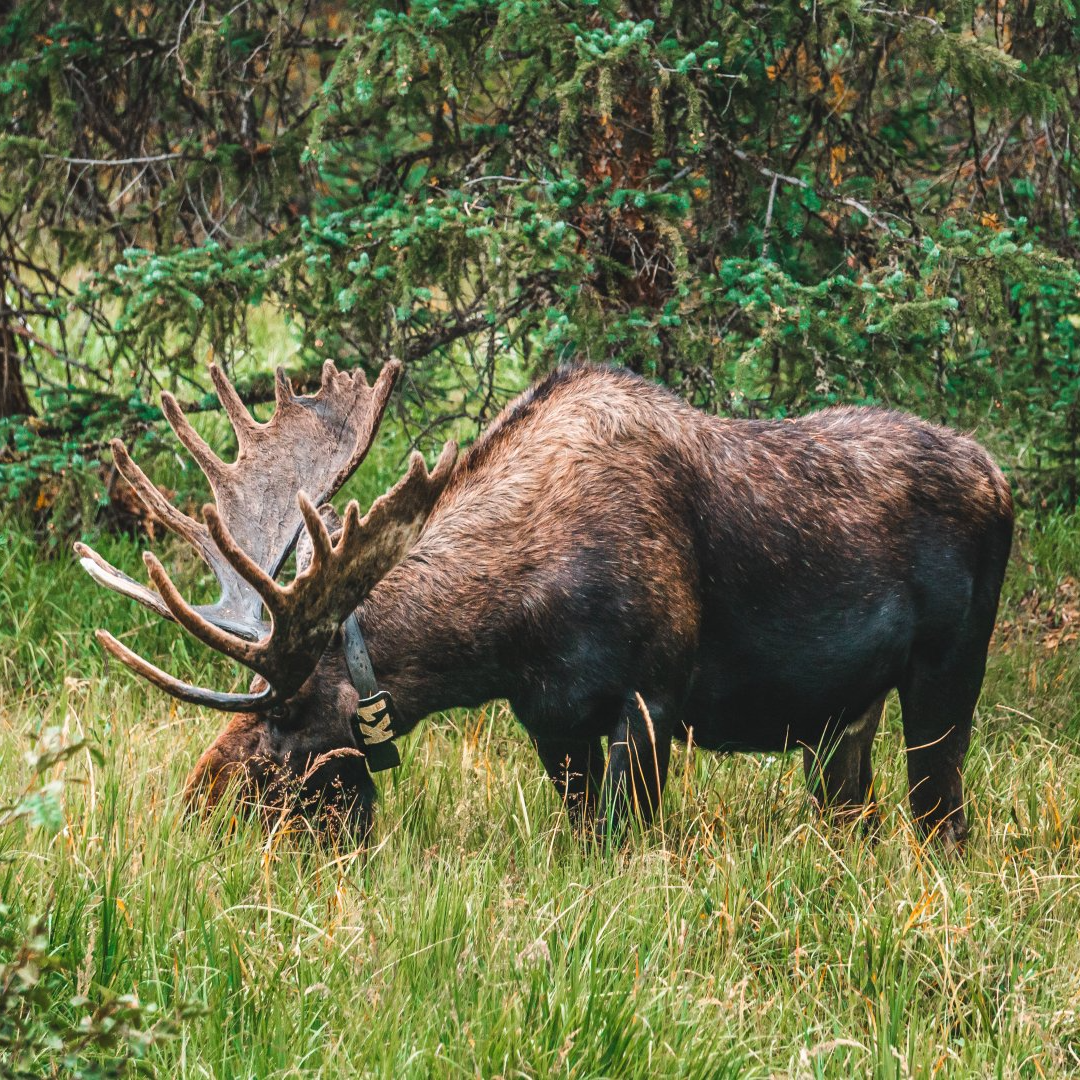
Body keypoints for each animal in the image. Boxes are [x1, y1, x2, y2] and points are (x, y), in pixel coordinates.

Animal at [78, 358, 1010, 846]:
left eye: (278, 730)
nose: (195, 812)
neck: (498, 635)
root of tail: (1002, 477)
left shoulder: (651, 699)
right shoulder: (552, 721)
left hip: (948, 679)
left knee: (943, 818)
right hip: (841, 723)